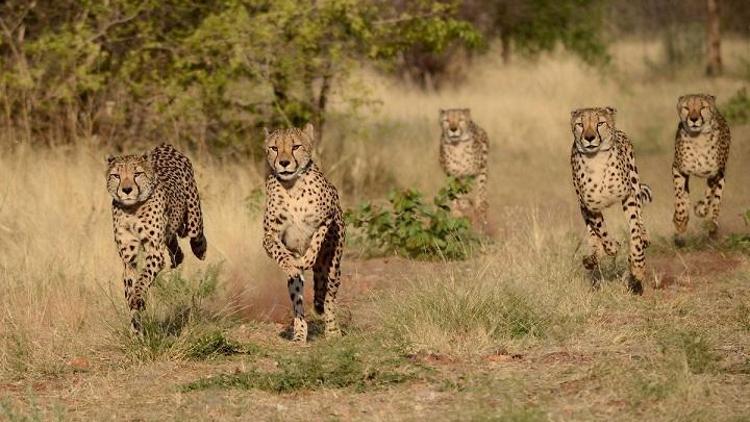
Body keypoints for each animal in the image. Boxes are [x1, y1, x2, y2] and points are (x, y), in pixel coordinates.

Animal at [106, 143, 206, 334]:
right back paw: (177, 257)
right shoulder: (128, 257)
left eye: (137, 174)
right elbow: (130, 282)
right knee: (172, 241)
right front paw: (136, 328)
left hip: (193, 218)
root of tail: (165, 146)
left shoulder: (154, 250)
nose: (127, 190)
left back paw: (200, 250)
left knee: (196, 235)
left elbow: (143, 277)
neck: (132, 208)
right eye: (116, 176)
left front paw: (138, 297)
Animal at [262, 123, 346, 342]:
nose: (283, 163)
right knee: (297, 301)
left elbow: (315, 243)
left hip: (333, 266)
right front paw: (291, 265)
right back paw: (300, 334)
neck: (292, 186)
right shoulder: (268, 236)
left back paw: (332, 331)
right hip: (297, 286)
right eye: (274, 148)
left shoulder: (326, 219)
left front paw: (304, 261)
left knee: (328, 298)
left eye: (296, 146)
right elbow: (280, 253)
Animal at [572, 107, 656, 296]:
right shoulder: (590, 206)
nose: (589, 137)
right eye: (580, 124)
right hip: (581, 206)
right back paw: (593, 257)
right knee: (593, 236)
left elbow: (635, 229)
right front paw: (612, 247)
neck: (596, 160)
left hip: (634, 180)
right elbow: (602, 233)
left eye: (600, 123)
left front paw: (637, 265)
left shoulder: (628, 196)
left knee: (640, 218)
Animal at [672, 93, 732, 242]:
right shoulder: (678, 169)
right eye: (686, 107)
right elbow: (680, 197)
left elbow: (708, 197)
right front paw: (680, 220)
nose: (694, 119)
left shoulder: (714, 174)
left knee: (716, 203)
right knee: (685, 195)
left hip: (722, 175)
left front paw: (699, 209)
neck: (697, 138)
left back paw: (713, 227)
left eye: (702, 107)